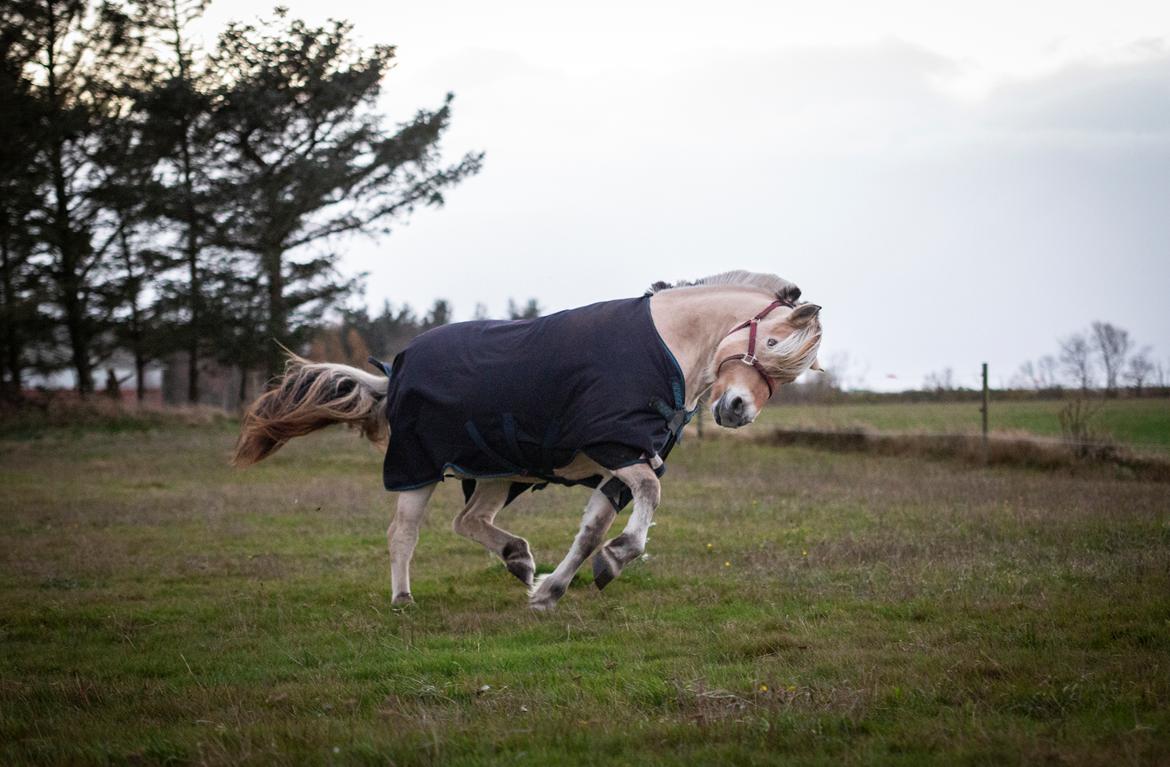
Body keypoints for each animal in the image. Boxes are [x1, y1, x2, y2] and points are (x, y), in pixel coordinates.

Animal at [232, 270, 823, 612]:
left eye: (790, 373)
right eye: (773, 342)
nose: (738, 410)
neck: (665, 348)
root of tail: (394, 372)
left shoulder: (619, 464)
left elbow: (591, 530)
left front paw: (553, 590)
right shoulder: (617, 448)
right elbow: (647, 499)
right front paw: (618, 557)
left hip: (498, 469)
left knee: (468, 521)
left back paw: (517, 558)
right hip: (417, 465)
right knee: (404, 533)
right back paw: (403, 599)